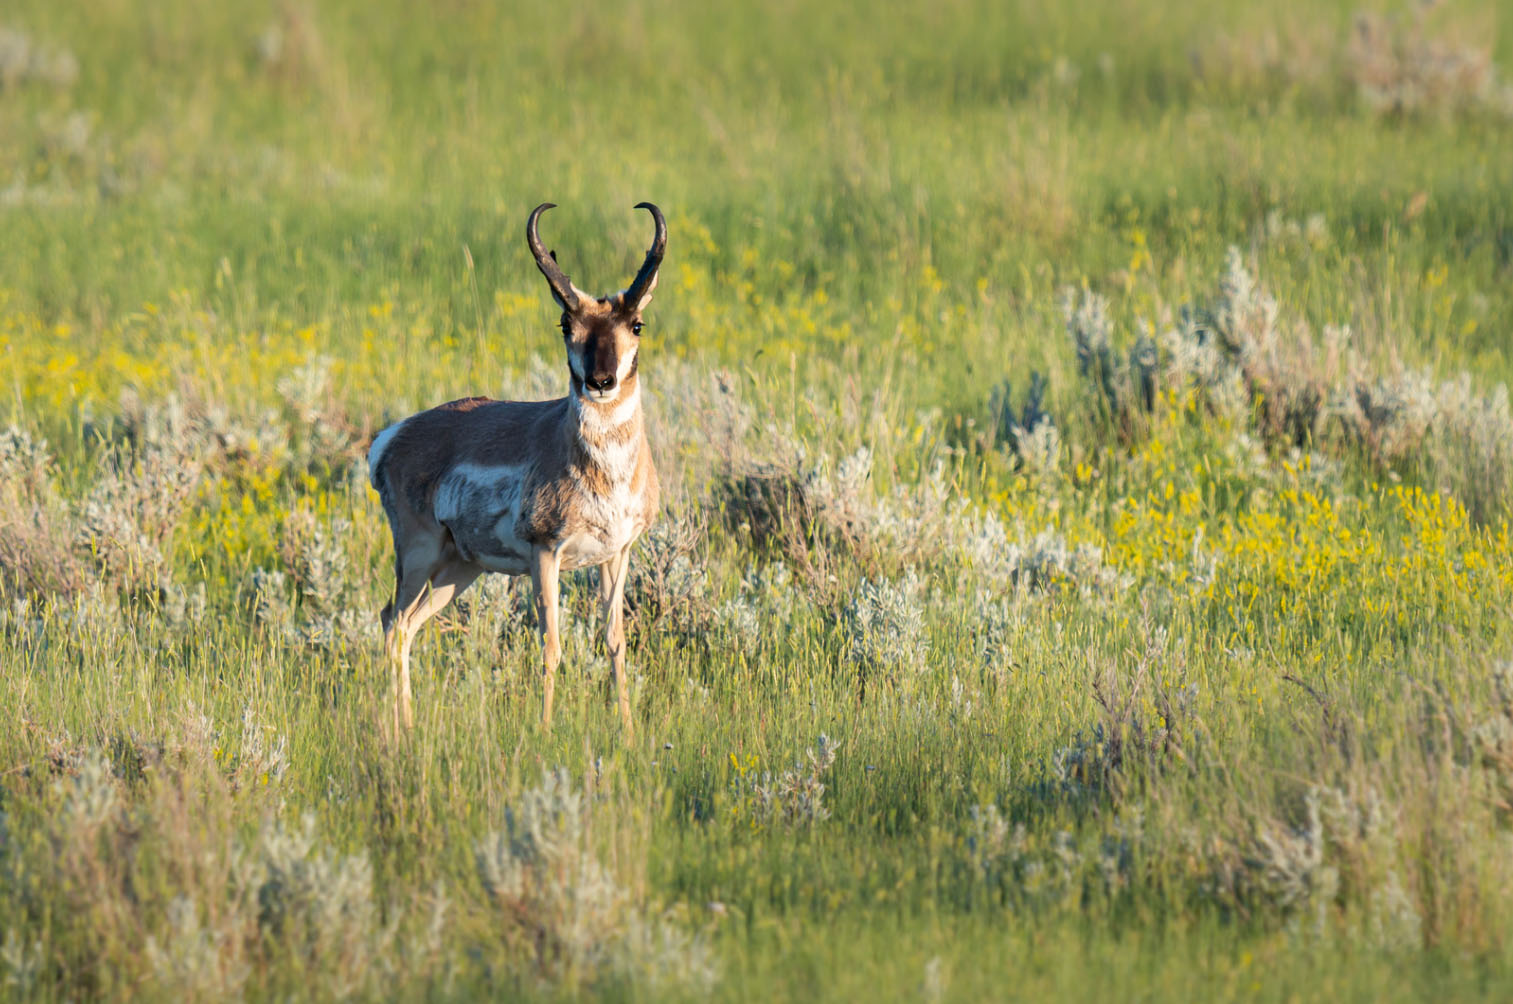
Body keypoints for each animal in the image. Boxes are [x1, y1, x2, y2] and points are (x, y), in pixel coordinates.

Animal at [367, 203, 664, 735]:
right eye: (565, 324)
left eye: (637, 324)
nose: (600, 381)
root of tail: (395, 434)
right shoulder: (545, 554)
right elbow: (551, 647)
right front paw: (545, 732)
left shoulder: (617, 555)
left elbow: (615, 643)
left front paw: (629, 734)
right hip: (420, 555)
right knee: (392, 621)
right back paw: (403, 728)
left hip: (459, 568)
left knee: (407, 625)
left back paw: (409, 724)